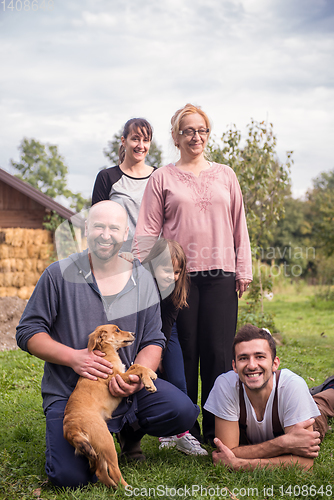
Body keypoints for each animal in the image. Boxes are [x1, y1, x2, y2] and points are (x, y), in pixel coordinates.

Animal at [63, 324, 158, 488]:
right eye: (117, 330)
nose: (134, 333)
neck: (107, 353)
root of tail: (71, 427)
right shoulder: (118, 377)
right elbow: (137, 368)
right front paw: (148, 383)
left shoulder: (122, 374)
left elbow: (137, 365)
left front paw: (151, 373)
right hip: (106, 441)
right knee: (113, 470)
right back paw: (127, 488)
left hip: (97, 448)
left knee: (100, 471)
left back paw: (113, 487)